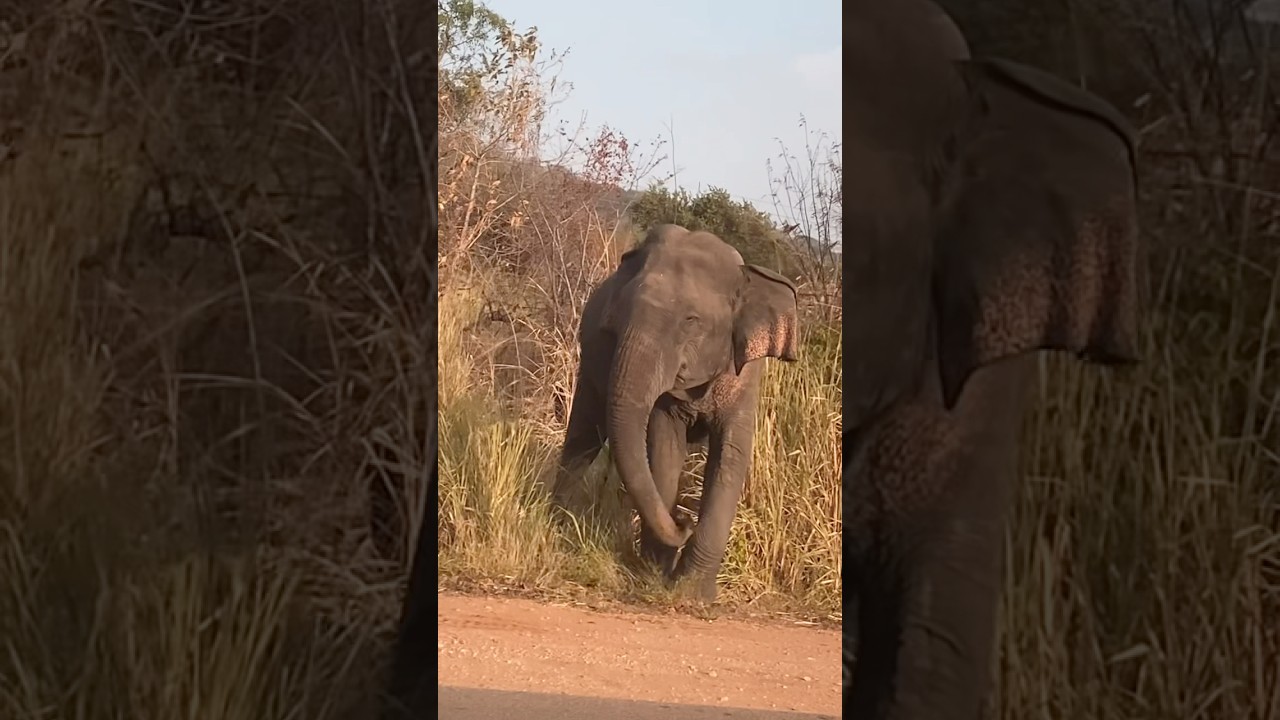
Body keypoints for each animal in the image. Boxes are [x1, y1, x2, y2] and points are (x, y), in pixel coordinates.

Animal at [551, 224, 800, 602]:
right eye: (617, 318)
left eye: (691, 321)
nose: (683, 521)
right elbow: (666, 446)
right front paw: (656, 573)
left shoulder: (744, 377)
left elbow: (731, 455)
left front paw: (693, 593)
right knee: (584, 435)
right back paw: (555, 522)